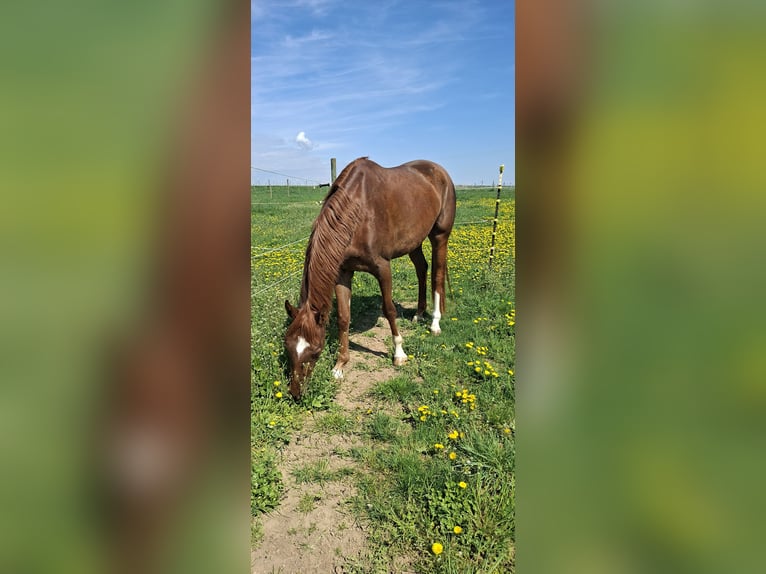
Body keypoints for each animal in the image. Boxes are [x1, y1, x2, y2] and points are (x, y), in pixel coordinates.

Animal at [284, 157, 456, 399]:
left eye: (316, 351)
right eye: (288, 346)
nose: (296, 393)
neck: (358, 212)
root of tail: (439, 171)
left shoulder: (383, 268)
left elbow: (389, 309)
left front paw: (399, 353)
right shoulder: (343, 273)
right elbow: (343, 317)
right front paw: (339, 366)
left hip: (440, 235)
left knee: (437, 275)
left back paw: (434, 323)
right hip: (414, 241)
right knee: (422, 269)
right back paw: (419, 313)